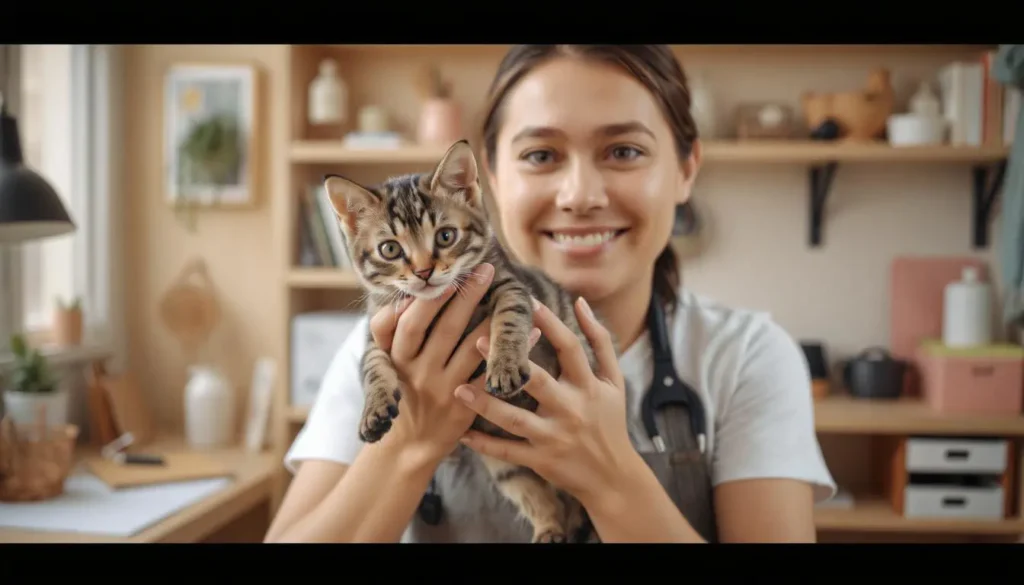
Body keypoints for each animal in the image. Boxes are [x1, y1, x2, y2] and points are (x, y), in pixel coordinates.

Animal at [321, 139, 606, 540]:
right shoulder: (377, 331)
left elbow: (509, 318)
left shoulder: (512, 286)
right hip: (507, 468)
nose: (424, 271)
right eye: (390, 249)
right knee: (542, 498)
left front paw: (504, 366)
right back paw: (550, 529)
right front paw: (373, 409)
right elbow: (372, 366)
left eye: (445, 236)